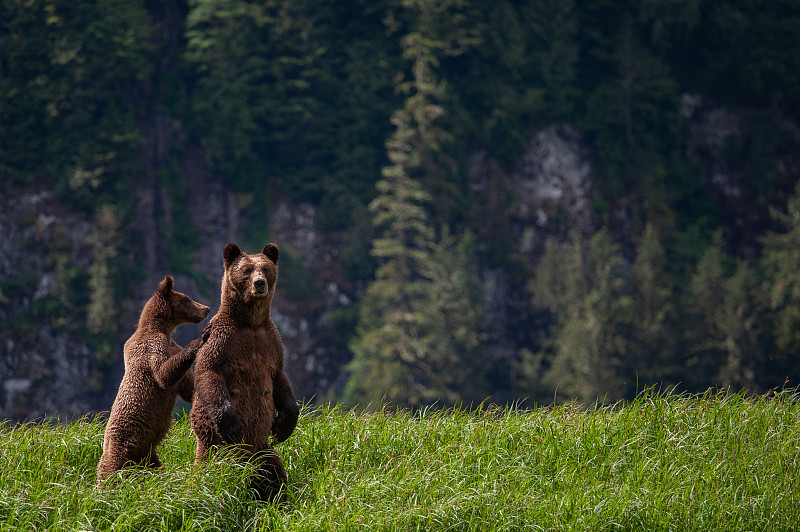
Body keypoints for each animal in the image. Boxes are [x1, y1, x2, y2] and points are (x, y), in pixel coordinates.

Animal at [97, 276, 211, 484]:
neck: (161, 329)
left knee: (155, 467)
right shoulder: (152, 348)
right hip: (121, 447)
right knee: (109, 473)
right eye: (187, 299)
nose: (206, 308)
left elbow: (186, 385)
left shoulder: (171, 347)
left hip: (147, 453)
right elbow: (163, 374)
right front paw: (201, 338)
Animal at [191, 243, 300, 500]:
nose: (259, 283)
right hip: (218, 447)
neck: (250, 323)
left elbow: (280, 378)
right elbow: (209, 373)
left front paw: (284, 426)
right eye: (247, 270)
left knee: (274, 472)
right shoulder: (221, 340)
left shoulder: (271, 342)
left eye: (266, 268)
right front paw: (231, 425)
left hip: (263, 450)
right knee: (217, 473)